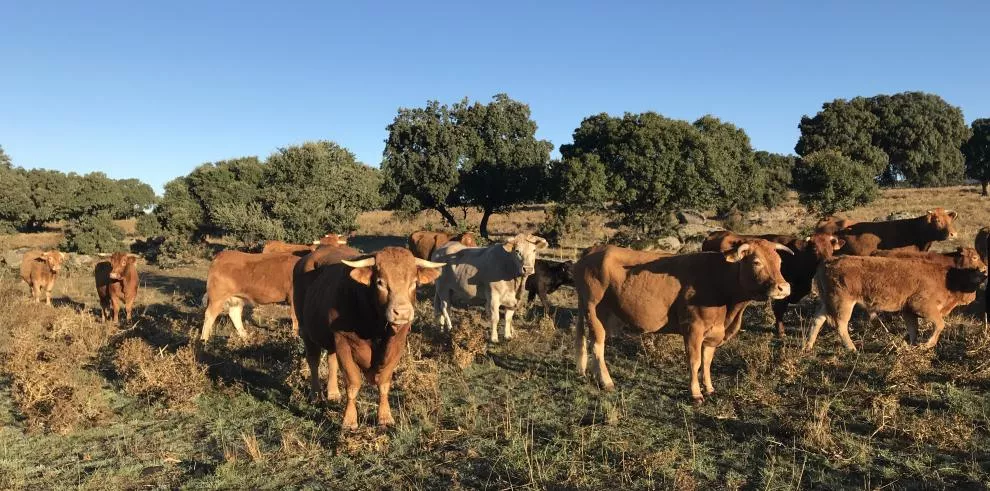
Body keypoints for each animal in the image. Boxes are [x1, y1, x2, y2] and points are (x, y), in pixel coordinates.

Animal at [294, 247, 444, 429]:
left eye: (414, 283)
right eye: (380, 282)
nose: (402, 313)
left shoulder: (397, 344)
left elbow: (385, 383)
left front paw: (385, 416)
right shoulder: (343, 340)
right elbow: (353, 383)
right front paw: (349, 419)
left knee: (331, 360)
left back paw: (333, 393)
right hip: (305, 329)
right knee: (313, 361)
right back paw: (316, 395)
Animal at [574, 239, 792, 402]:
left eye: (780, 262)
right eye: (756, 262)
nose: (784, 287)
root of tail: (593, 250)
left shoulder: (713, 333)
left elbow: (707, 361)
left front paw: (709, 388)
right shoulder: (693, 328)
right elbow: (695, 361)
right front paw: (695, 393)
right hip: (595, 312)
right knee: (597, 346)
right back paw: (606, 381)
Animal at [703, 231, 844, 337]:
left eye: (831, 249)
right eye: (814, 249)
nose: (828, 262)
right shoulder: (782, 291)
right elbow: (779, 310)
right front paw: (780, 331)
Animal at [805, 256, 987, 351]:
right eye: (975, 282)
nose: (972, 298)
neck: (947, 278)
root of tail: (829, 260)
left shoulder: (908, 310)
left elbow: (913, 328)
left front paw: (913, 345)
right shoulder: (922, 306)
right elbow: (940, 324)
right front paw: (928, 344)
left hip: (826, 302)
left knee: (817, 319)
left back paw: (808, 346)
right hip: (843, 303)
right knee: (840, 325)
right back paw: (852, 348)